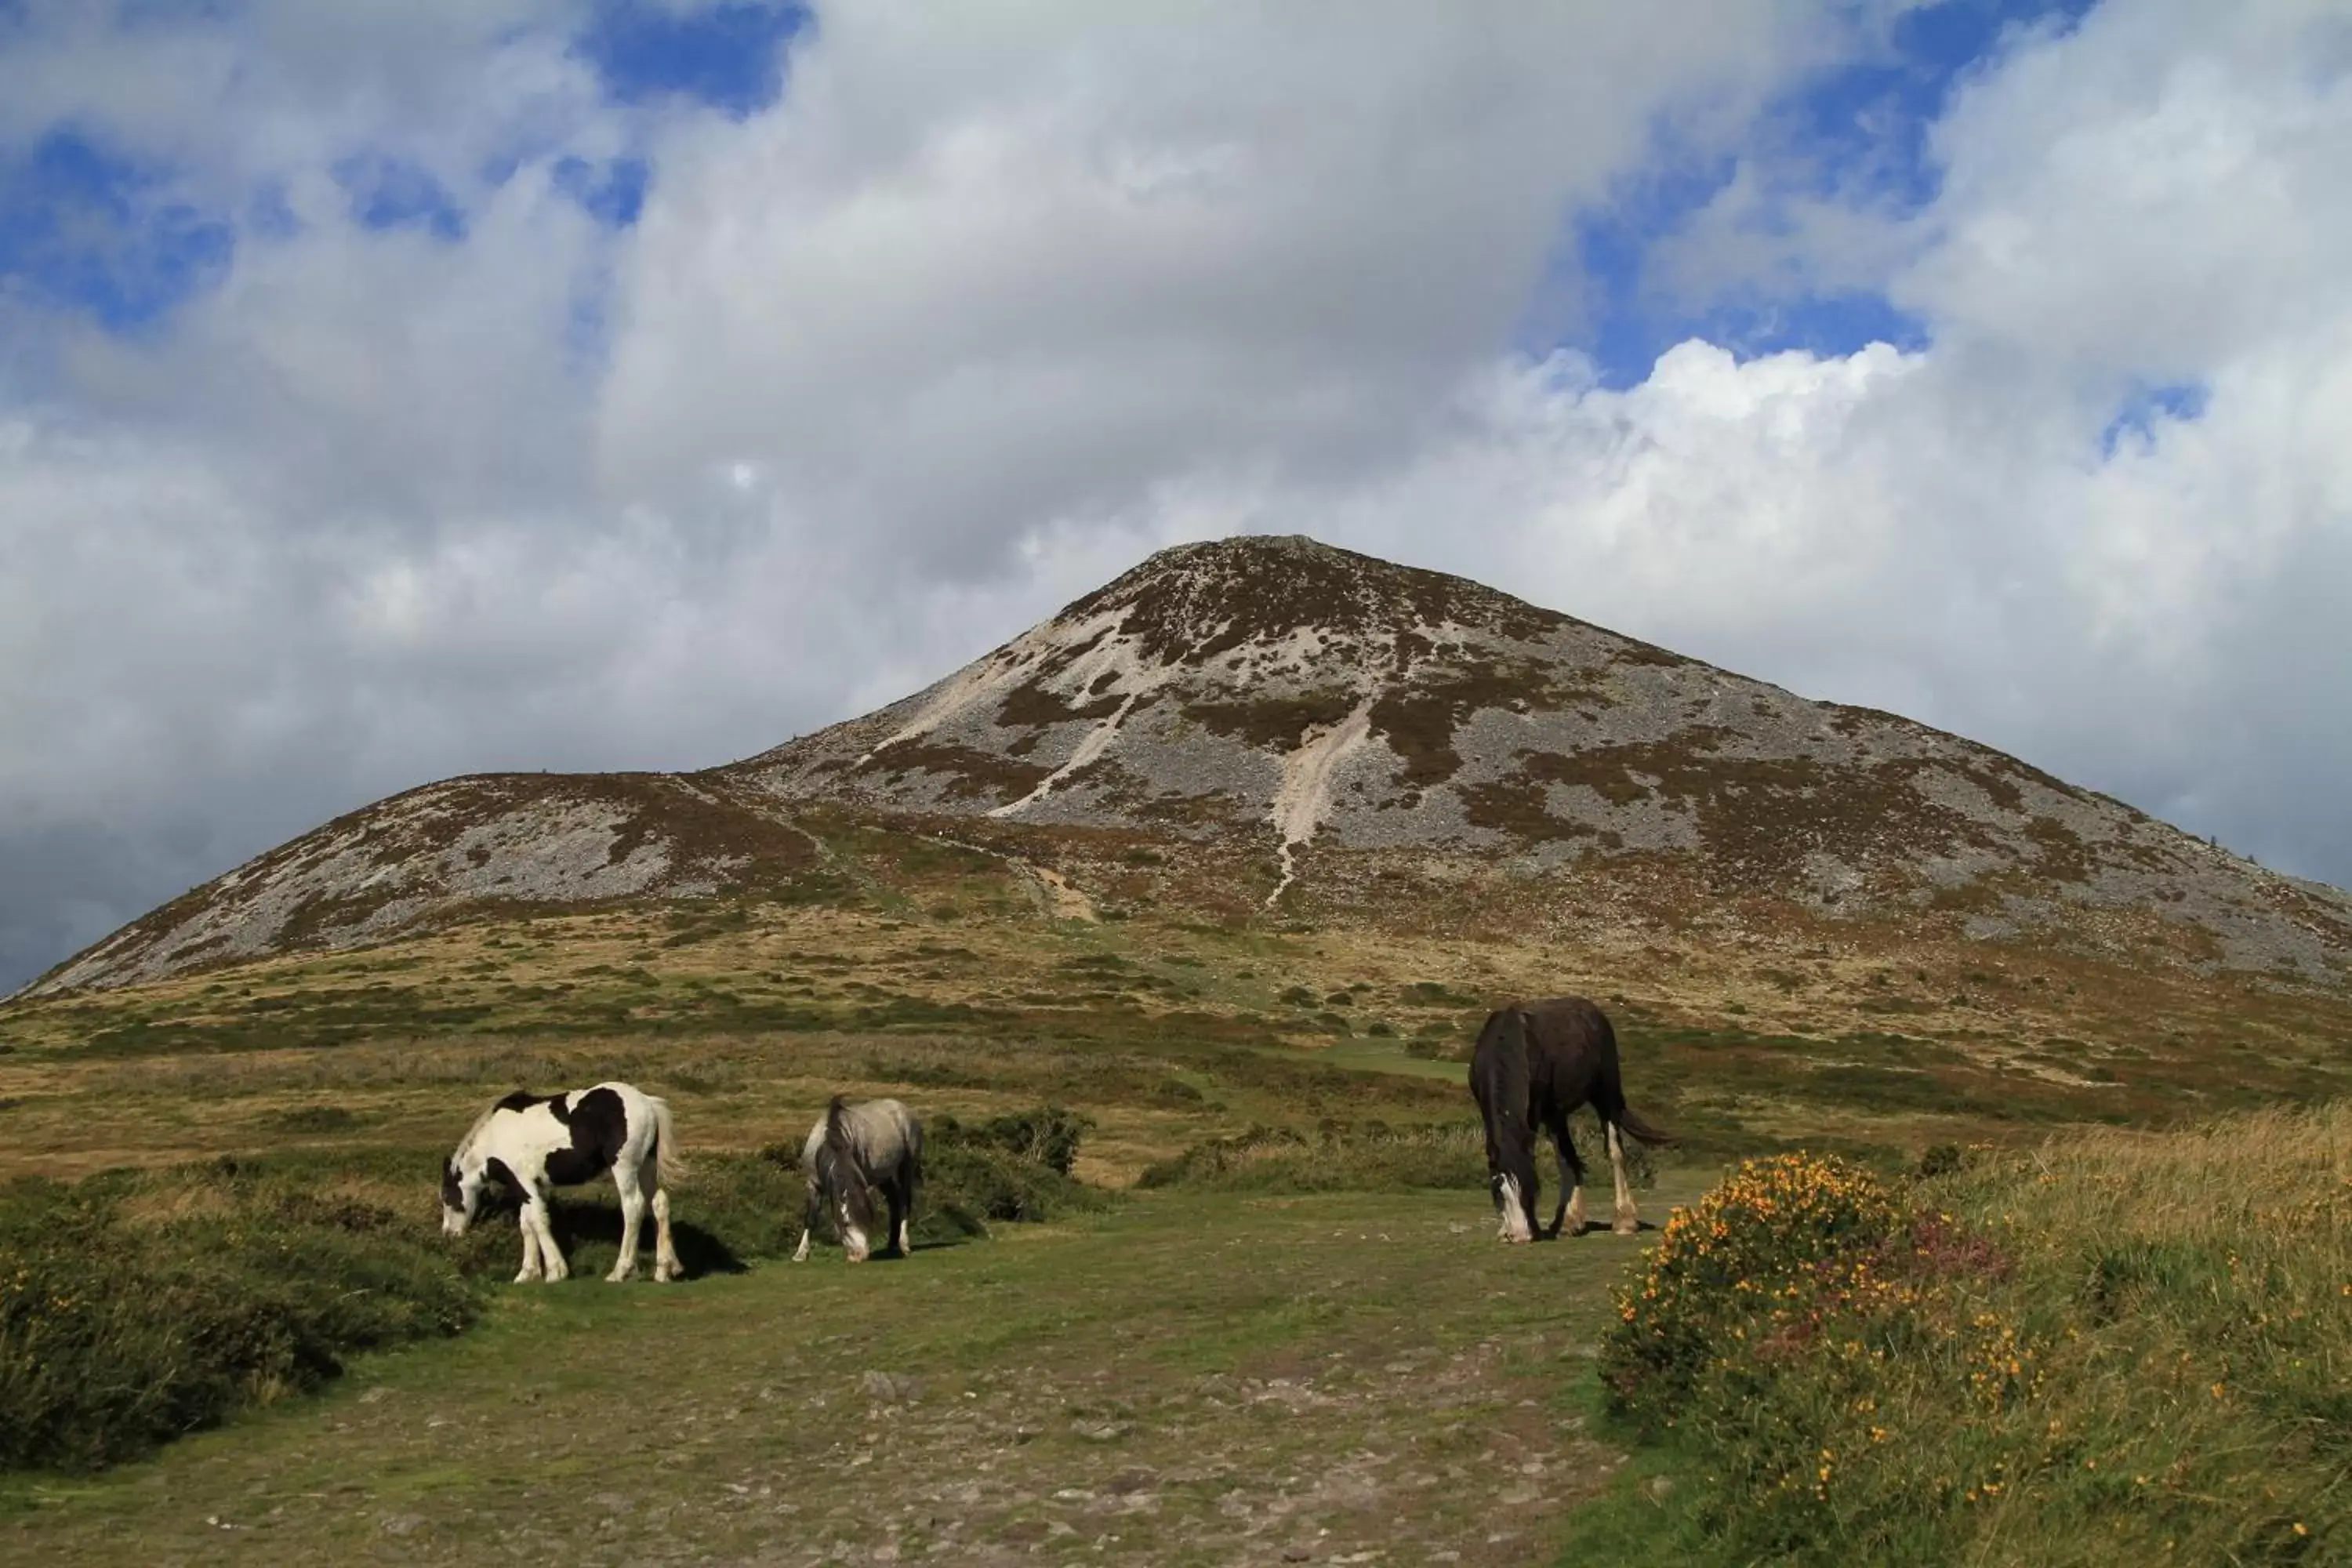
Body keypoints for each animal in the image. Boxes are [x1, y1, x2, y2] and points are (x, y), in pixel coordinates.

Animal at [442, 1081, 687, 1288]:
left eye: (447, 1198)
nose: (449, 1234)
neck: (495, 1136)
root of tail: (648, 1103)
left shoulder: (524, 1182)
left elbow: (539, 1221)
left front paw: (555, 1271)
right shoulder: (529, 1188)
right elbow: (527, 1224)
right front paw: (527, 1273)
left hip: (625, 1167)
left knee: (633, 1207)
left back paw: (620, 1271)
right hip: (646, 1165)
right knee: (659, 1204)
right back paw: (665, 1270)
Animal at [790, 1100, 917, 1269]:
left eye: (869, 1217)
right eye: (845, 1223)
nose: (860, 1256)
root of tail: (901, 1107)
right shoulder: (813, 1184)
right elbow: (811, 1218)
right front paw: (801, 1254)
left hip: (907, 1167)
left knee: (904, 1203)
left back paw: (904, 1245)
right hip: (885, 1177)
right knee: (894, 1203)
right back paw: (892, 1245)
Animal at [1468, 1006, 1675, 1250]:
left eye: (1532, 1189)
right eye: (1498, 1192)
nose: (1520, 1236)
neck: (1507, 1043)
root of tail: (1594, 1012)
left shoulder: (1534, 1112)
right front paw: (1504, 1230)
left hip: (1605, 1096)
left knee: (1615, 1152)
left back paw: (1624, 1221)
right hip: (1556, 1115)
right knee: (1569, 1159)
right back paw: (1568, 1223)